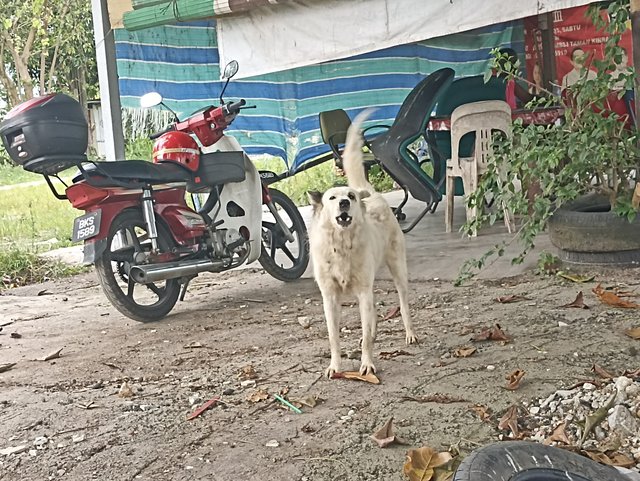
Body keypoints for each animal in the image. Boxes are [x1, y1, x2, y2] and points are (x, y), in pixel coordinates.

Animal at [308, 110, 418, 376]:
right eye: (332, 198)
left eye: (350, 197)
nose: (345, 203)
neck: (341, 245)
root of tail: (373, 194)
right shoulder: (330, 297)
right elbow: (334, 337)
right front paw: (335, 366)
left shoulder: (362, 290)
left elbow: (366, 335)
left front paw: (367, 363)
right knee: (374, 310)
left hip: (398, 270)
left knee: (403, 304)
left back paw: (410, 333)